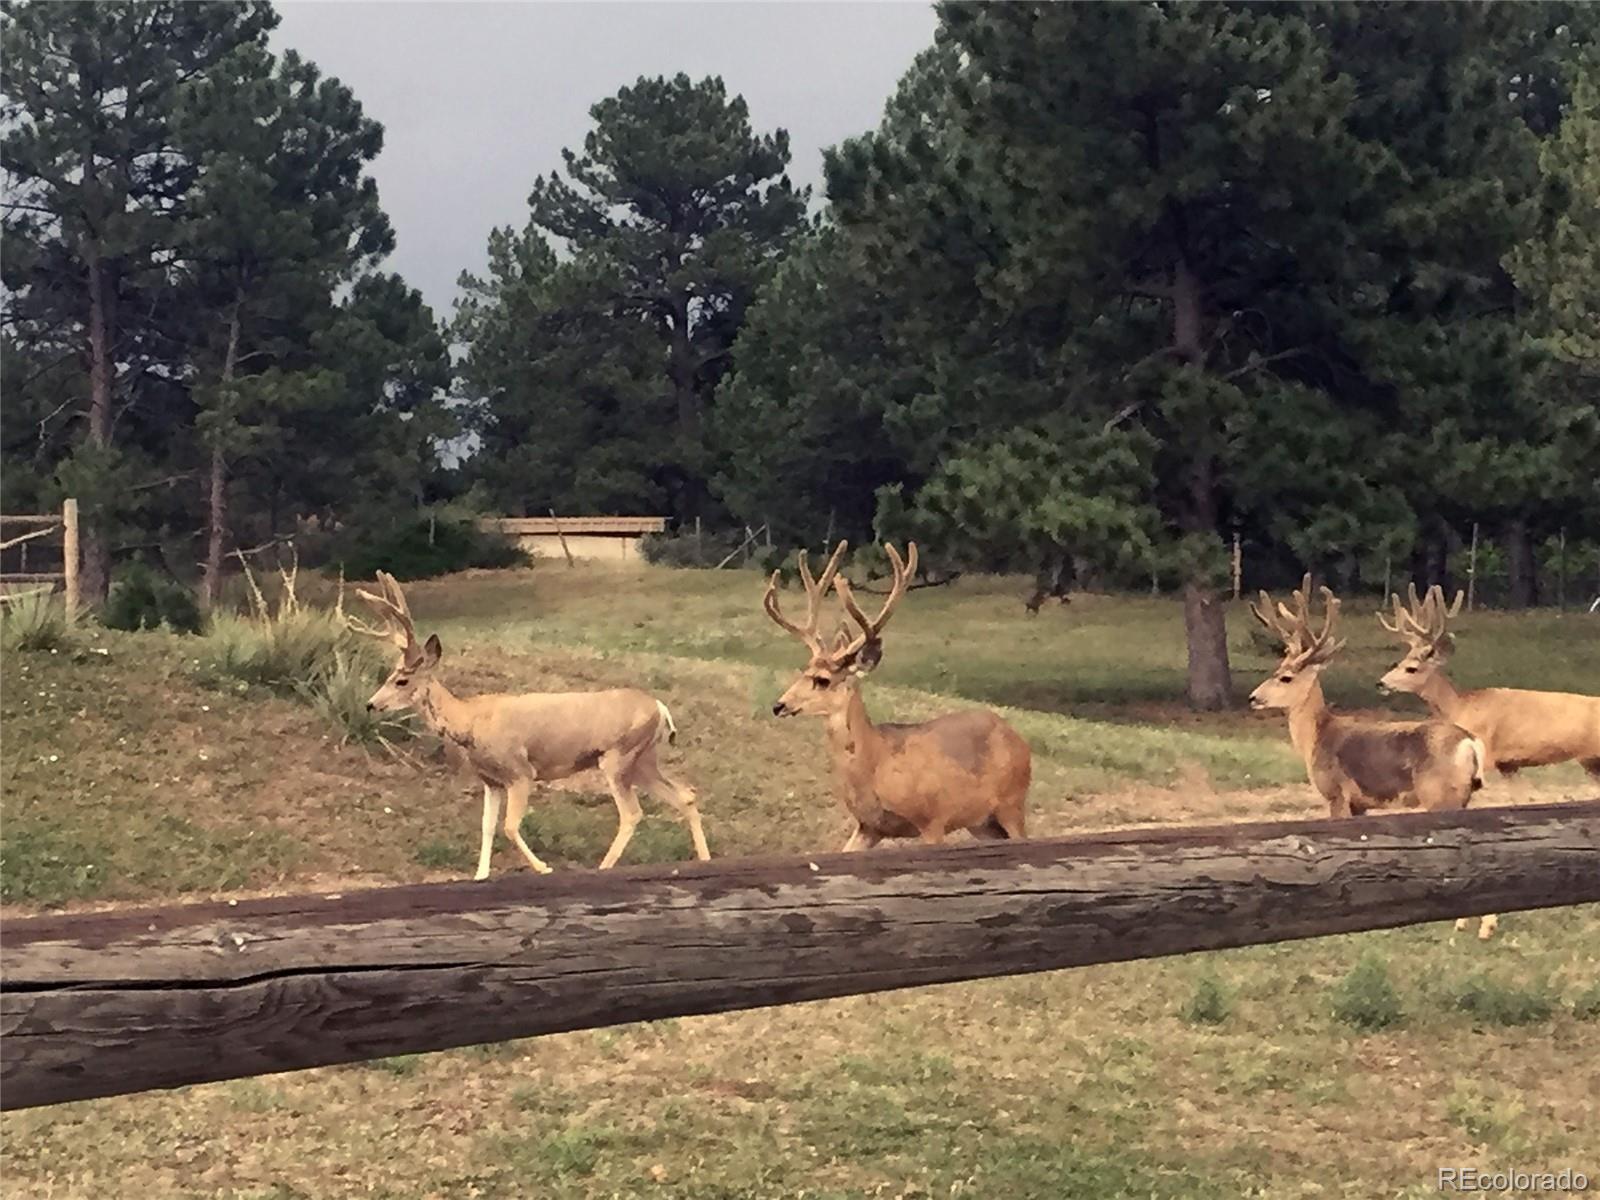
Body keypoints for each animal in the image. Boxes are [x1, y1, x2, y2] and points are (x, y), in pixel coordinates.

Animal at [353, 572, 710, 876]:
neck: (469, 721)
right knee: (686, 795)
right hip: (643, 759)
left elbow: (510, 826)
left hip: (618, 756)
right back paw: (705, 858)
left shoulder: (521, 772)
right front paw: (480, 875)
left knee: (633, 813)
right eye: (390, 675)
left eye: (401, 680)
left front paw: (543, 868)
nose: (370, 704)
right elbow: (487, 826)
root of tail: (661, 708)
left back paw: (603, 867)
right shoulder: (491, 781)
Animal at [764, 540, 1036, 851]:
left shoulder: (933, 818)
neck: (876, 763)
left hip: (1012, 803)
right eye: (803, 670)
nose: (779, 705)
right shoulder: (868, 826)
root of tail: (1019, 740)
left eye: (822, 680)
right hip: (982, 822)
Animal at [1376, 588, 1600, 784]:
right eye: (1398, 663)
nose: (1381, 683)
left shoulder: (1487, 753)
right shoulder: (1508, 765)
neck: (1459, 707)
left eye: (1412, 669)